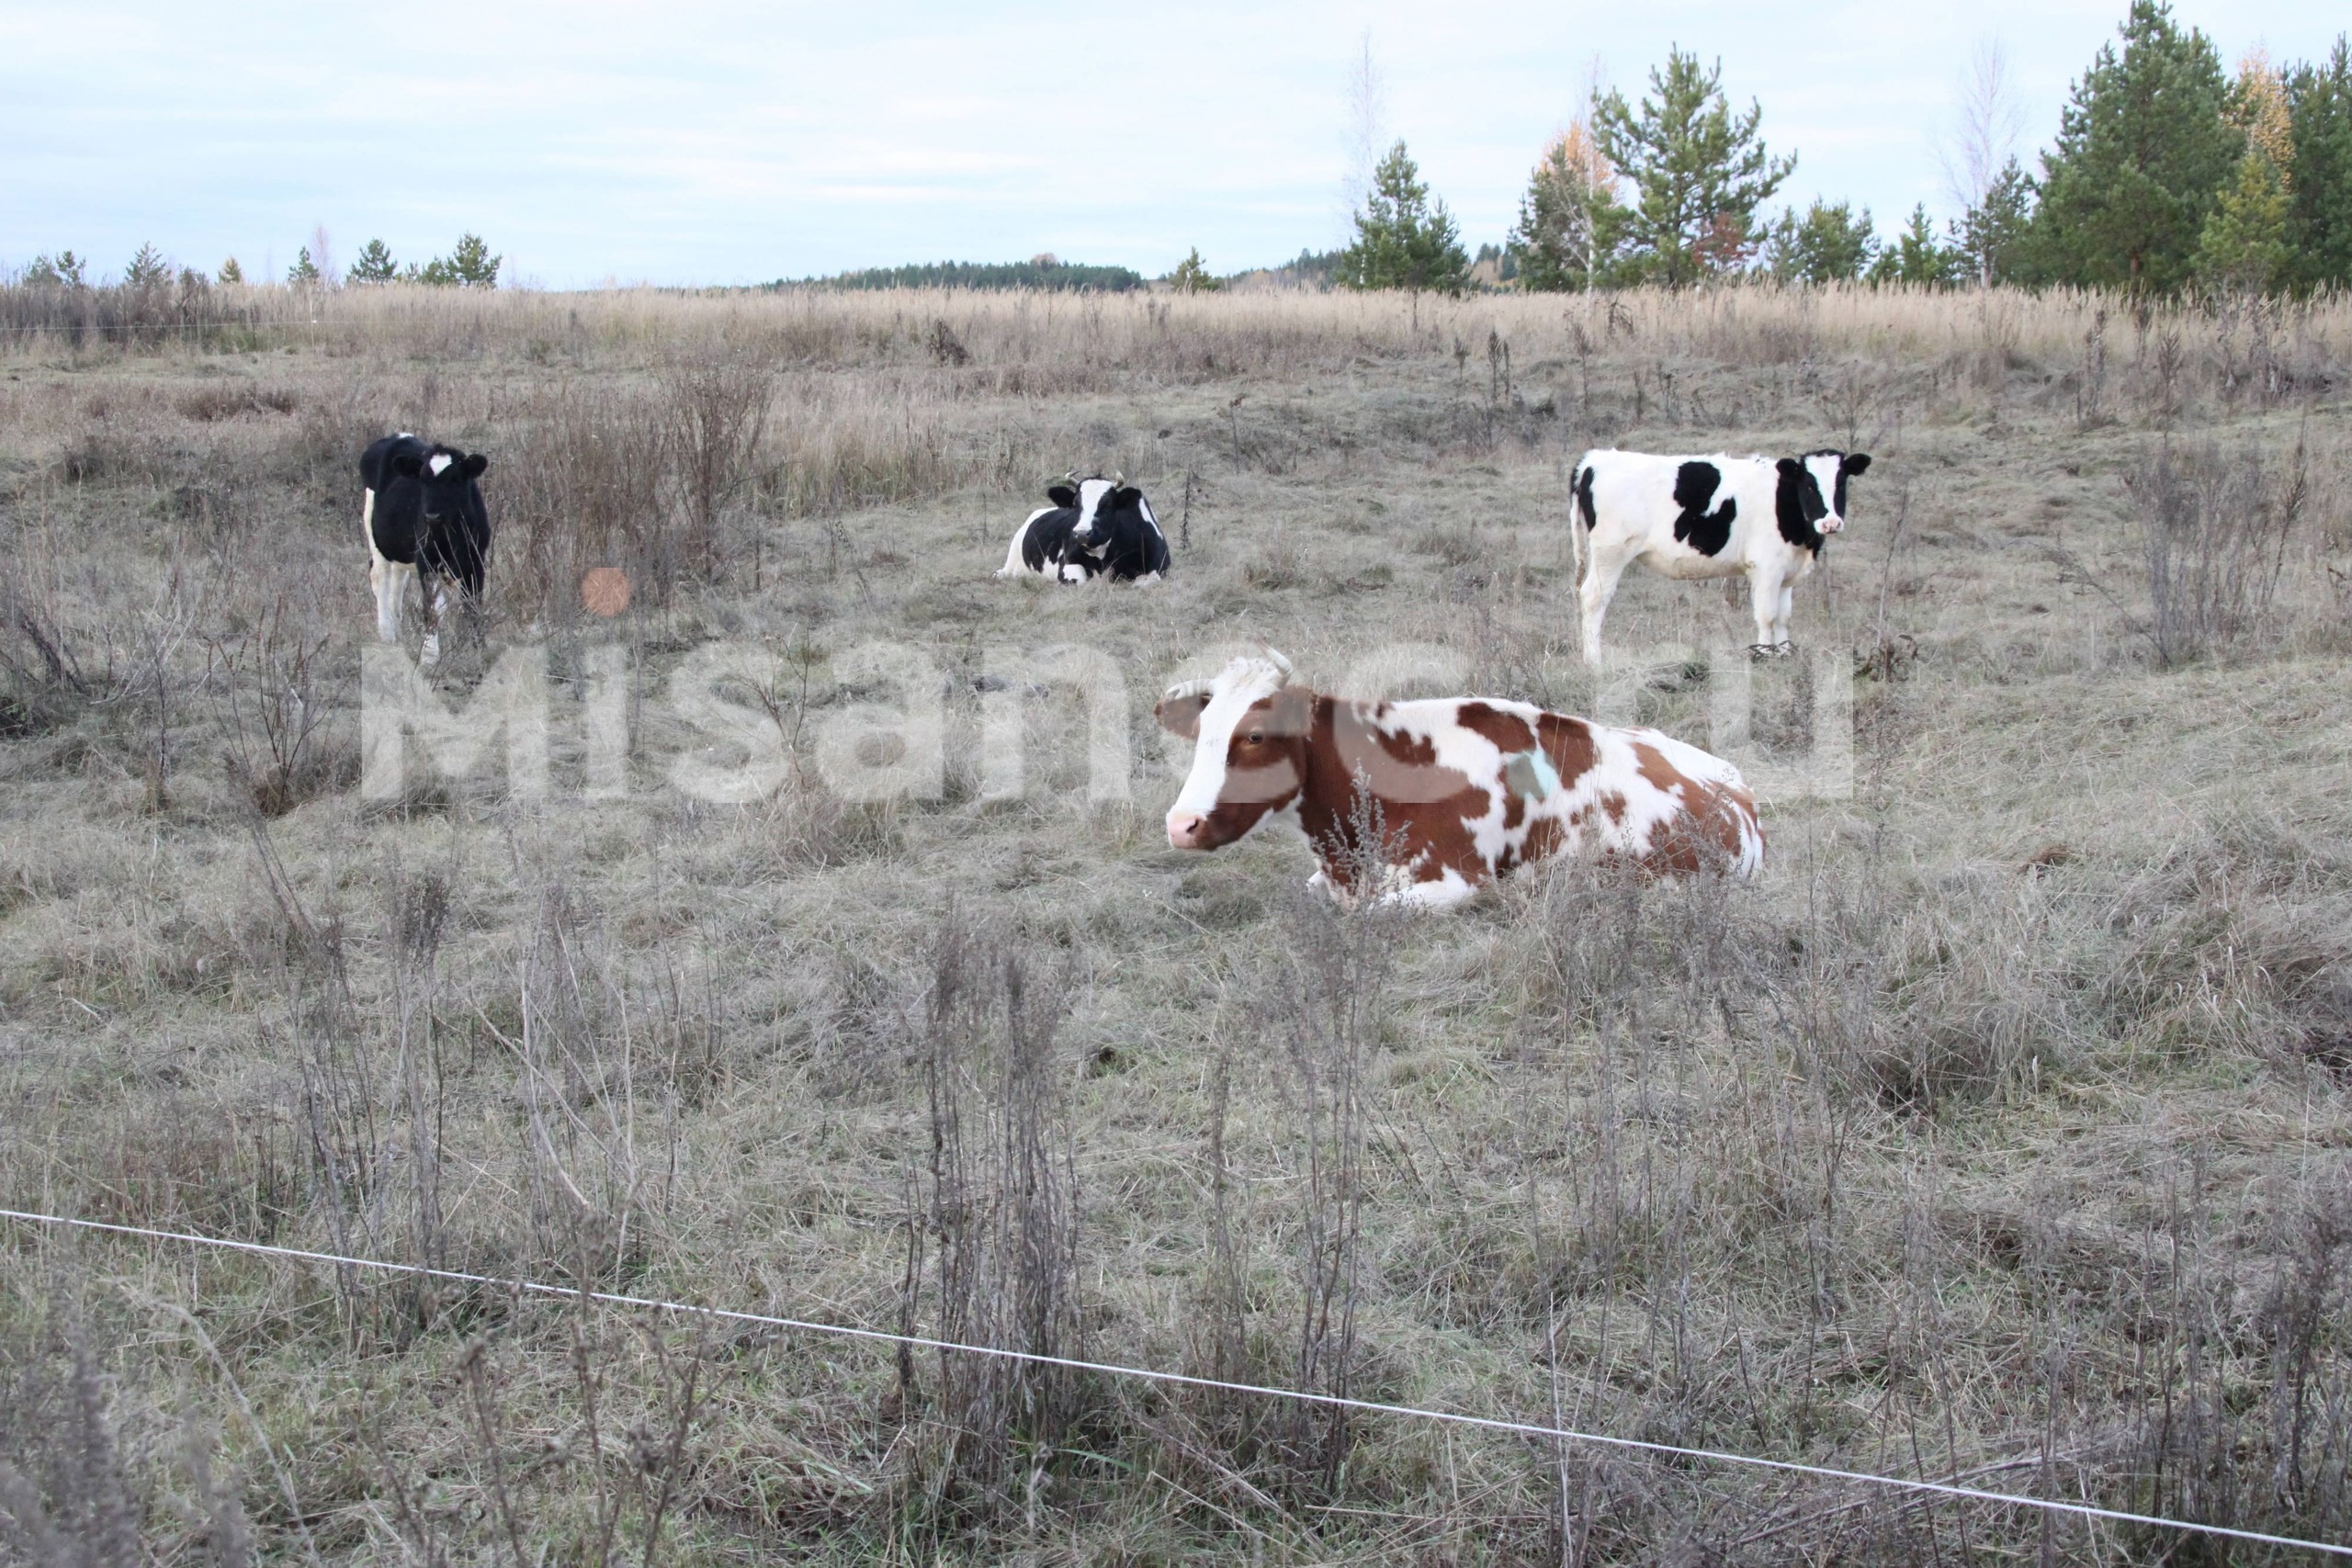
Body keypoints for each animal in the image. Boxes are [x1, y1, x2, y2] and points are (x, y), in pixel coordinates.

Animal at [362, 432, 492, 671]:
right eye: (422, 480)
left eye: (455, 479)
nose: (432, 516)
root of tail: (398, 435)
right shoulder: (426, 561)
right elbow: (433, 608)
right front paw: (430, 656)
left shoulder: (476, 562)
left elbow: (473, 605)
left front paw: (480, 651)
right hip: (376, 538)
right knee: (380, 580)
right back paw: (387, 636)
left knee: (397, 585)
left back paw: (399, 633)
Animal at [997, 474, 1170, 585]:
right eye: (1075, 504)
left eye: (1107, 504)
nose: (1081, 534)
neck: (1104, 560)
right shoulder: (1067, 564)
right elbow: (1080, 580)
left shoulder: (1158, 569)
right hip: (1011, 562)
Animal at [1571, 446, 1882, 662]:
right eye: (1808, 484)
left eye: (1841, 482)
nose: (1831, 523)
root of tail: (1593, 460)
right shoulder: (1766, 569)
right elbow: (1767, 616)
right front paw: (1764, 657)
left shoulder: (1786, 573)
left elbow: (1783, 617)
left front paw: (1784, 655)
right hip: (1611, 552)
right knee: (1593, 598)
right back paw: (1594, 662)